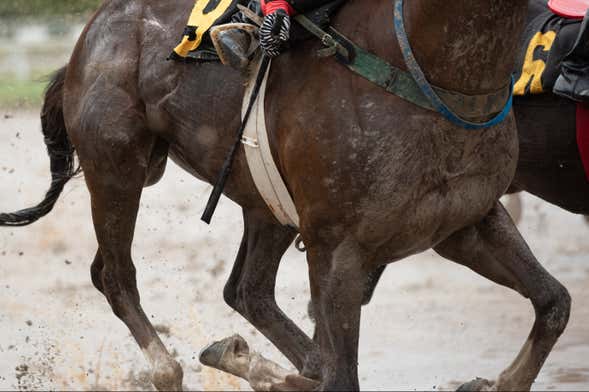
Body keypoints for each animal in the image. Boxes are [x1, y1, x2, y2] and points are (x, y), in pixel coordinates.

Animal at [0, 0, 568, 390]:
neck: (425, 66)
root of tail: (88, 37)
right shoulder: (338, 246)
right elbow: (340, 377)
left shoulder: (465, 221)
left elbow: (553, 302)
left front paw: (497, 382)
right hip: (116, 166)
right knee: (115, 276)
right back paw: (172, 369)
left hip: (264, 204)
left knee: (247, 290)